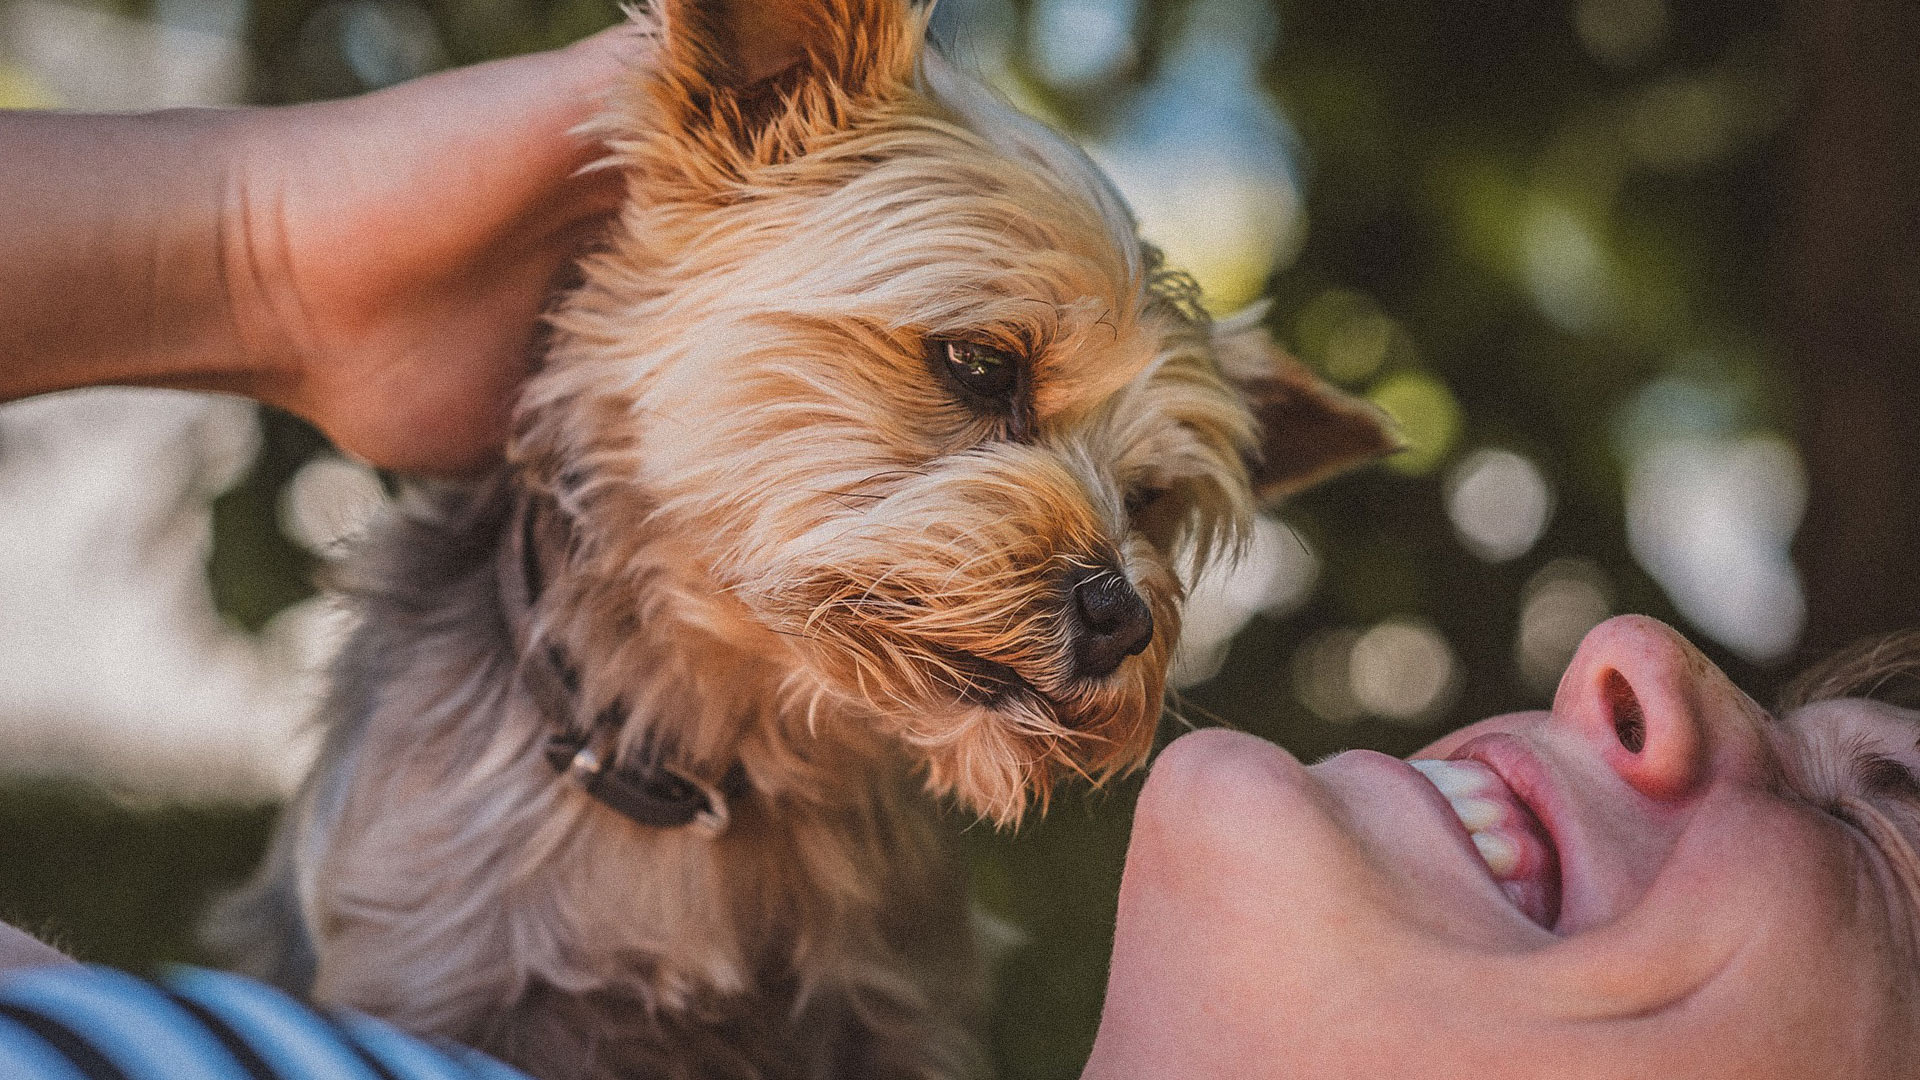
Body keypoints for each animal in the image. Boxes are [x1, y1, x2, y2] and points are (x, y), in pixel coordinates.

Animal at [220, 0, 1397, 1068]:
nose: (1120, 617)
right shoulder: (436, 982)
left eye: (1151, 497)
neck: (717, 760)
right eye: (981, 364)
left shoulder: (898, 1014)